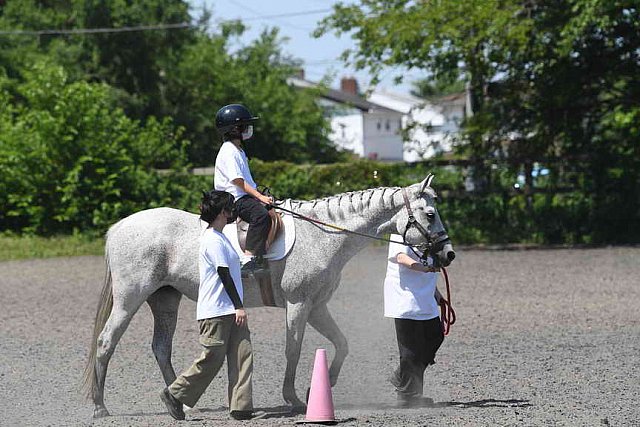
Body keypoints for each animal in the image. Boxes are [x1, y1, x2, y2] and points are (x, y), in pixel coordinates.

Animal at [84, 174, 456, 418]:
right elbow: (294, 349)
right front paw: (294, 398)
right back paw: (100, 406)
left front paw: (322, 385)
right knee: (106, 342)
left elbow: (342, 343)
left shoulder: (317, 306)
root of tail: (119, 227)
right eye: (430, 214)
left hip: (165, 300)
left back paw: (182, 401)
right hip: (130, 298)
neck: (321, 235)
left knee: (161, 347)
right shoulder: (299, 303)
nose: (448, 254)